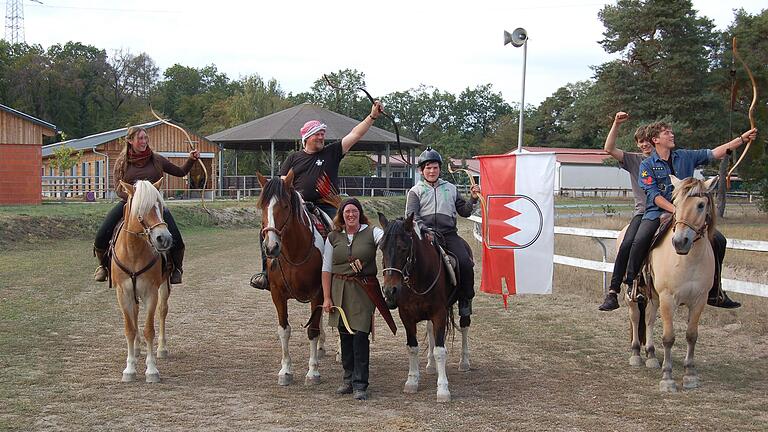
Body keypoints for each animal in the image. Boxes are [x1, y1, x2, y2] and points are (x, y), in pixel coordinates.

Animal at [112, 178, 172, 382]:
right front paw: (129, 369)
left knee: (162, 311)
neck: (134, 251)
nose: (164, 238)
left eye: (160, 206)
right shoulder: (123, 293)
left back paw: (162, 349)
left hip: (163, 287)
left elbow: (149, 330)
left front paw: (152, 370)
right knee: (135, 313)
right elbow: (129, 329)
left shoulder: (150, 292)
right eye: (141, 209)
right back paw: (137, 349)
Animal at [256, 170, 326, 386]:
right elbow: (284, 330)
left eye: (285, 206)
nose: (271, 247)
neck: (295, 252)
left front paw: (313, 372)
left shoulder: (318, 293)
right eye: (262, 206)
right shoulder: (277, 295)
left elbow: (312, 330)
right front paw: (285, 370)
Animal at [376, 213, 472, 402]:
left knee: (464, 326)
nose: (390, 291)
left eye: (403, 248)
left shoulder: (439, 313)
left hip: (465, 300)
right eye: (381, 248)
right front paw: (412, 381)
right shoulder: (406, 315)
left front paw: (443, 389)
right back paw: (430, 365)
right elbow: (412, 348)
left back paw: (464, 362)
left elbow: (440, 351)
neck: (418, 278)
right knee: (429, 330)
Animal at [624, 175, 720, 392]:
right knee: (635, 318)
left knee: (649, 320)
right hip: (634, 297)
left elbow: (691, 335)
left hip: (653, 297)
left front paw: (690, 375)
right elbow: (668, 337)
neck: (688, 260)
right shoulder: (668, 298)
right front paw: (667, 378)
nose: (679, 242)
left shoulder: (699, 300)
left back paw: (651, 355)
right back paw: (636, 354)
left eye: (701, 205)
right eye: (675, 203)